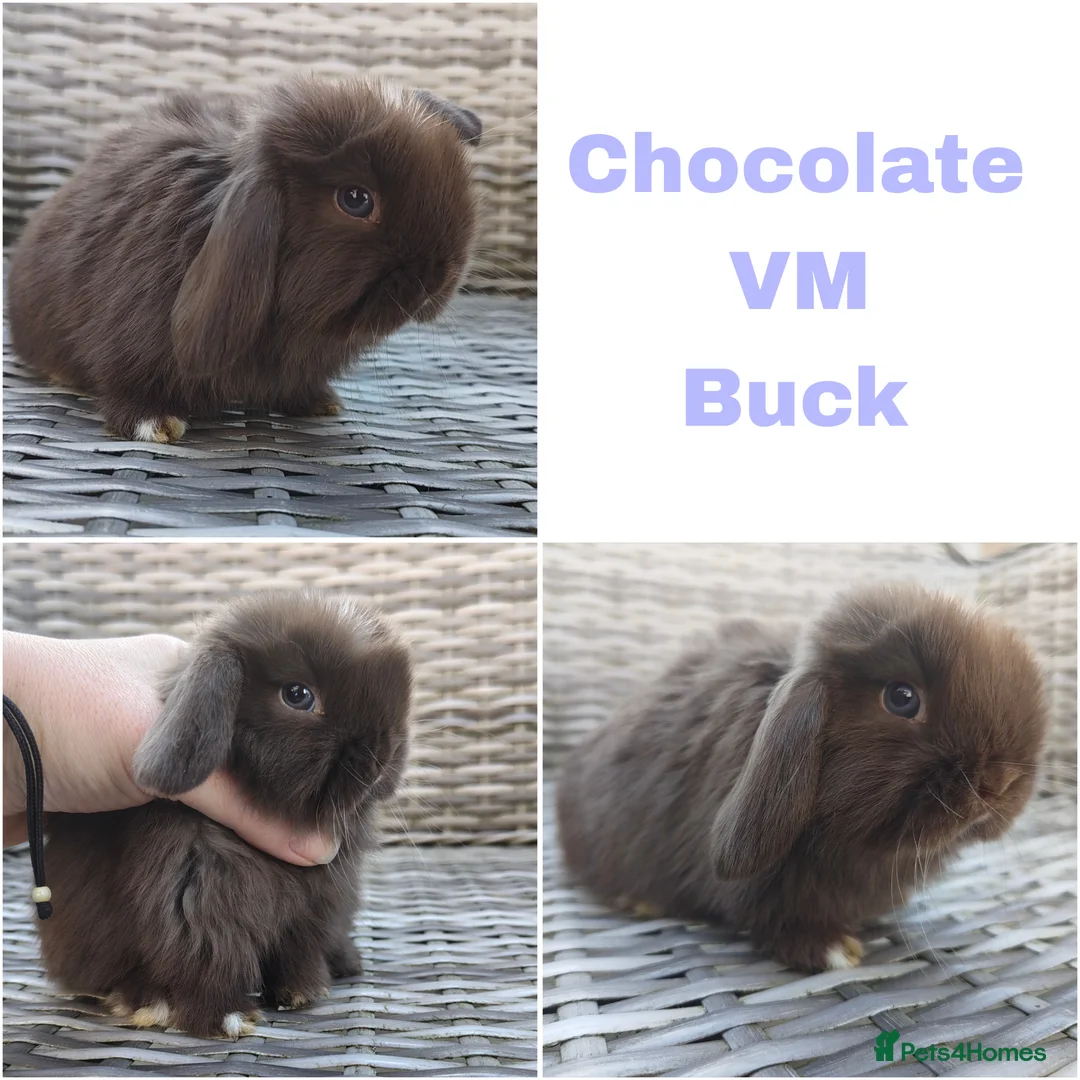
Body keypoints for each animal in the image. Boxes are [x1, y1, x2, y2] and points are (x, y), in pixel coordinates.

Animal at [38, 590, 412, 1038]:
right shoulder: (193, 898)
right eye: (298, 695)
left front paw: (303, 992)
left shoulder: (318, 905)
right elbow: (208, 954)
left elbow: (300, 950)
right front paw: (222, 1017)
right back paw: (143, 1001)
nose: (383, 759)